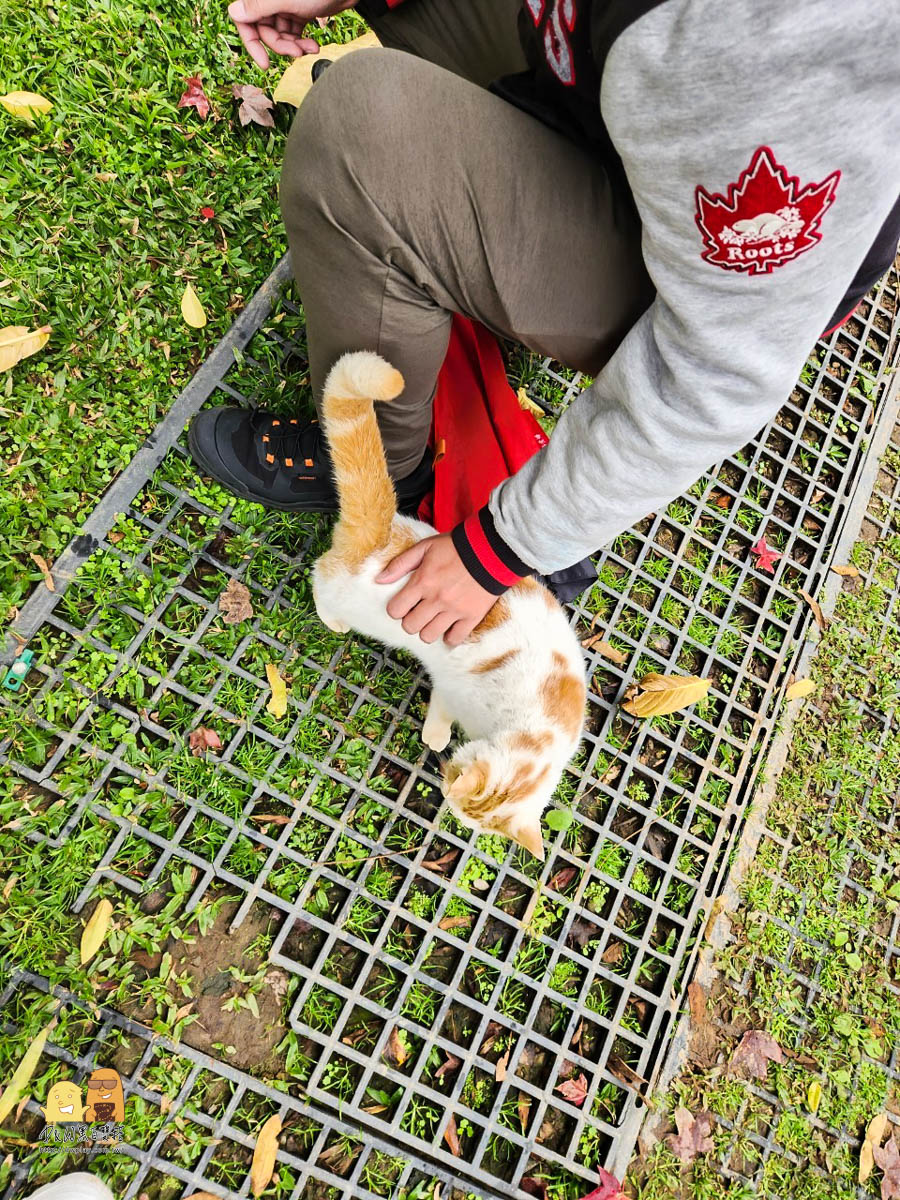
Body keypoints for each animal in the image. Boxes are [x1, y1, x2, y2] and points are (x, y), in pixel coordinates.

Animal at [314, 350, 588, 859]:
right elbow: (441, 710)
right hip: (349, 594)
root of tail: (383, 530)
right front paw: (435, 735)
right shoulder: (451, 687)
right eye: (455, 785)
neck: (536, 727)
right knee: (320, 573)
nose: (445, 792)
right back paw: (332, 616)